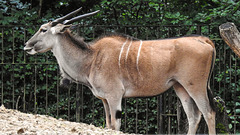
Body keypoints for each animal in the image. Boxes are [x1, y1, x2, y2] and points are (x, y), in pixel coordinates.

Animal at [24, 7, 218, 135]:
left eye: (43, 29)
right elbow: (108, 124)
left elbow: (115, 125)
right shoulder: (104, 99)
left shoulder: (115, 96)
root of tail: (205, 40)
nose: (26, 45)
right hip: (180, 87)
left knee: (208, 113)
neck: (91, 58)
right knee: (193, 116)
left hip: (195, 86)